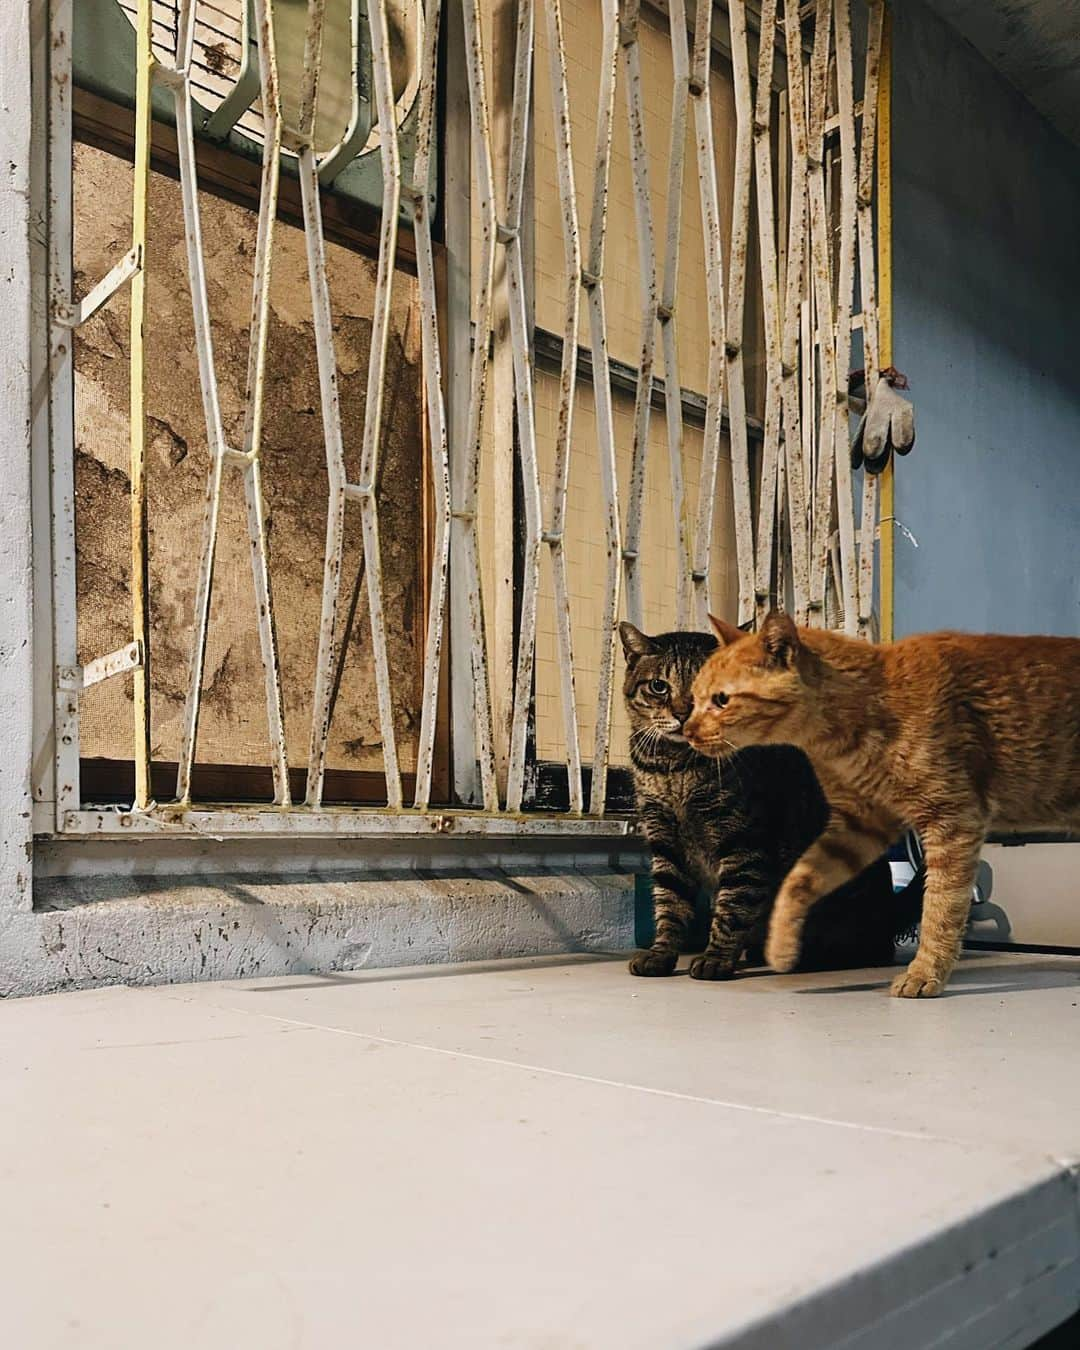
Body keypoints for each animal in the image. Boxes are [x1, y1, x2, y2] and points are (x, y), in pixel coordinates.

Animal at [615, 621, 918, 982]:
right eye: (659, 686)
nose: (682, 712)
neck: (677, 767)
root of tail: (891, 911)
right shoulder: (664, 839)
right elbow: (669, 903)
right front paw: (661, 954)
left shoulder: (743, 840)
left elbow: (733, 906)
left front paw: (715, 959)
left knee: (871, 949)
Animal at [683, 612, 1080, 993]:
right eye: (694, 700)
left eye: (720, 700)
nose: (687, 731)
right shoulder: (859, 827)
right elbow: (798, 879)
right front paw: (780, 947)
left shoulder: (952, 821)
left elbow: (941, 907)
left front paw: (925, 973)